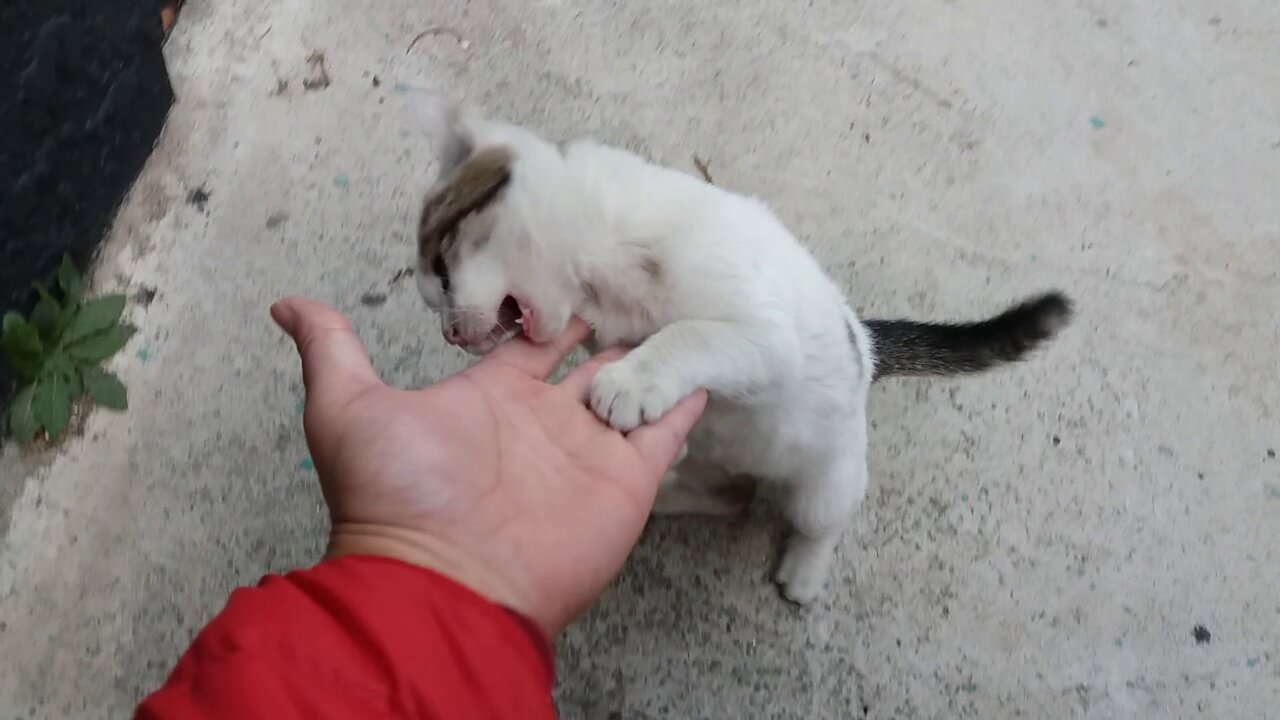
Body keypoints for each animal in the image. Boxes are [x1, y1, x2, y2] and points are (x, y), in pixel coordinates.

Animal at [409, 103, 1070, 602]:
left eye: (440, 270)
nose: (449, 334)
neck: (603, 262)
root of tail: (866, 341)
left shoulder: (764, 336)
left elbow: (687, 335)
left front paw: (633, 381)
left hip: (825, 482)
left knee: (822, 520)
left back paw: (804, 570)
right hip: (717, 453)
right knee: (732, 497)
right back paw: (664, 495)